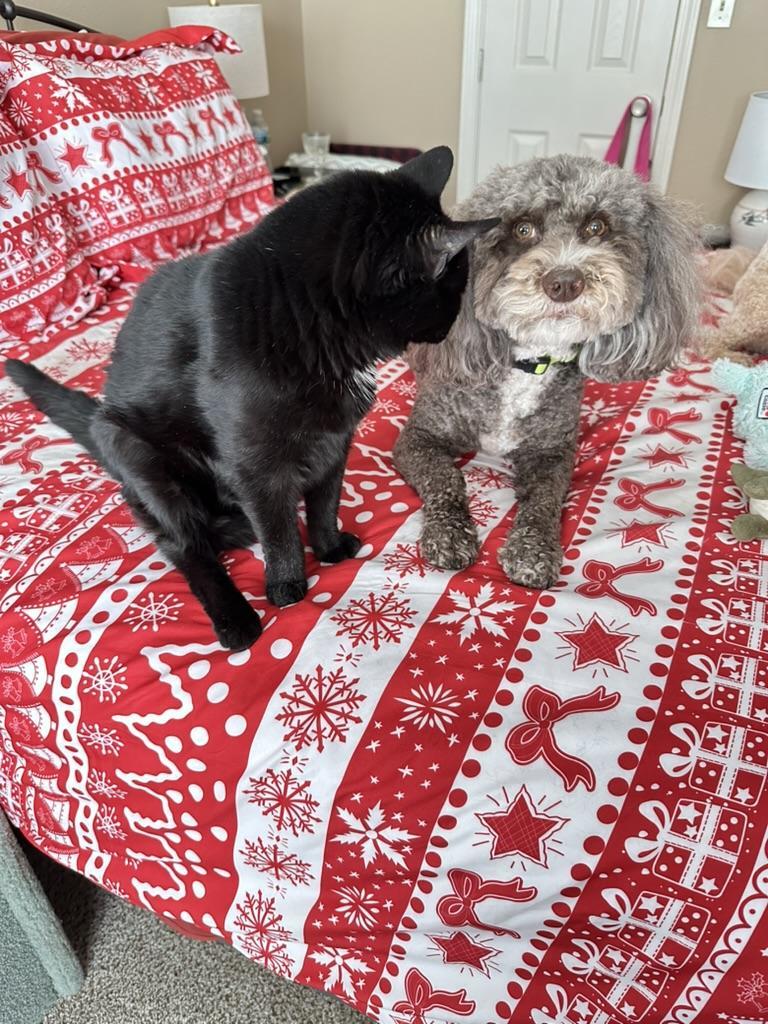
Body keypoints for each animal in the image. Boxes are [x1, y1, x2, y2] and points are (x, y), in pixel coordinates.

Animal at [7, 148, 499, 647]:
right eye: (454, 288)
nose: (453, 327)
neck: (319, 335)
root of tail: (101, 415)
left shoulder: (334, 441)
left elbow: (326, 501)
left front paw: (329, 547)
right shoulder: (256, 465)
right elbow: (279, 532)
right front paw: (287, 585)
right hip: (139, 453)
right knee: (184, 544)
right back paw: (236, 614)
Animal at [397, 157, 704, 593]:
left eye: (597, 227)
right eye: (522, 229)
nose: (564, 282)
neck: (528, 361)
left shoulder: (553, 454)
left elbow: (544, 501)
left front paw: (532, 550)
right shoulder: (419, 439)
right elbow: (445, 479)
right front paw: (449, 533)